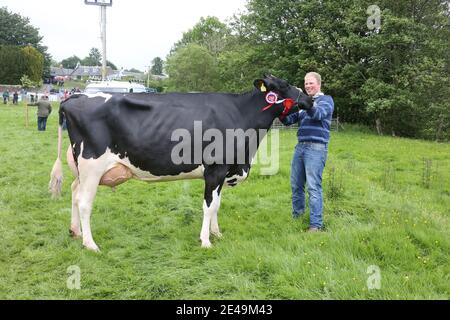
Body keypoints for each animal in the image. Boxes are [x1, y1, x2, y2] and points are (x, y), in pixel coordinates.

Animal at [48, 74, 310, 250]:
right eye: (284, 85)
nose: (309, 99)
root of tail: (76, 96)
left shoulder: (223, 172)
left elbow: (217, 205)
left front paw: (217, 234)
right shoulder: (215, 170)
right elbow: (208, 206)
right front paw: (205, 241)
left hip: (81, 169)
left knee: (74, 192)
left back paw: (75, 232)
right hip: (92, 166)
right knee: (84, 202)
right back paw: (90, 244)